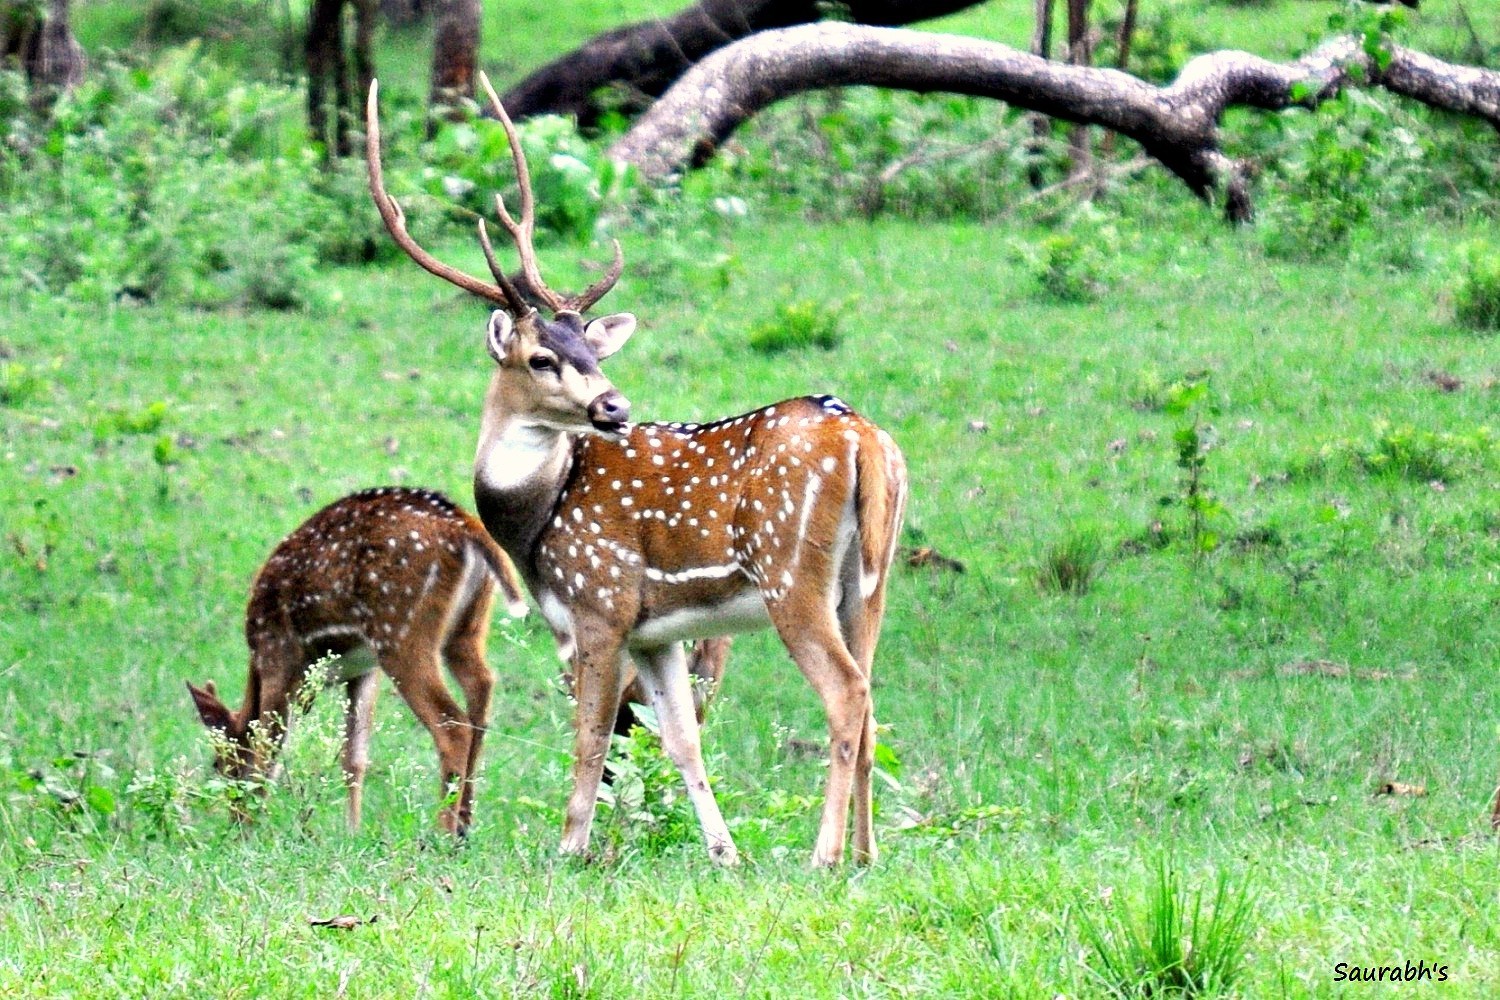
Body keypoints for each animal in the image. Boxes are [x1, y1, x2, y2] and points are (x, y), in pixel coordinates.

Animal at [185, 485, 531, 839]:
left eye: (219, 762)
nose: (232, 820)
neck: (255, 661)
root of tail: (462, 526)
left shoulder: (278, 655)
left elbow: (268, 747)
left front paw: (250, 829)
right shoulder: (364, 670)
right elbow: (353, 757)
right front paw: (351, 831)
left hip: (399, 629)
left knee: (452, 722)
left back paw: (443, 832)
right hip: (466, 628)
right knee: (482, 688)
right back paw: (464, 824)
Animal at [369, 74, 906, 863]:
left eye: (589, 353)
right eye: (545, 357)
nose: (613, 404)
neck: (535, 525)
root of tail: (865, 440)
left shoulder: (599, 603)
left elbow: (592, 738)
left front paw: (569, 849)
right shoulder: (657, 630)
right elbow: (680, 741)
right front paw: (725, 854)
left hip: (790, 571)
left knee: (847, 693)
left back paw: (824, 855)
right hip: (869, 580)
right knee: (870, 700)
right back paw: (866, 855)